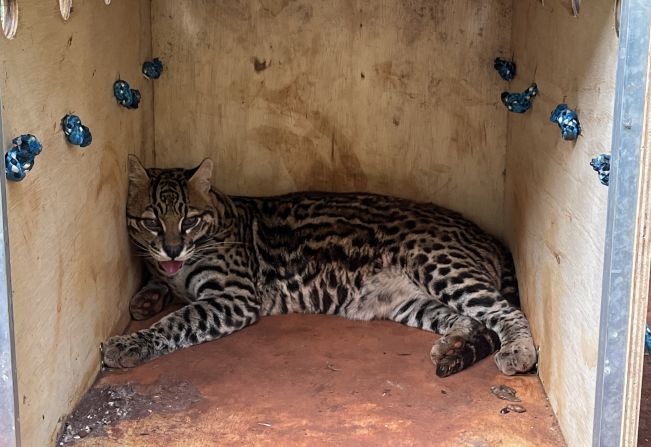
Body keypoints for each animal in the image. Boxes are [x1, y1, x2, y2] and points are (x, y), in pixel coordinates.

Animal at [102, 158, 536, 378]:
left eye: (188, 220)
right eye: (151, 221)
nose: (172, 247)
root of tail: (487, 234)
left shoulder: (234, 296)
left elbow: (178, 321)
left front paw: (131, 343)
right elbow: (161, 284)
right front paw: (148, 294)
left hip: (438, 263)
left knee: (505, 311)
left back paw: (518, 350)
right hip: (409, 300)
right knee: (469, 319)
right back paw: (453, 343)